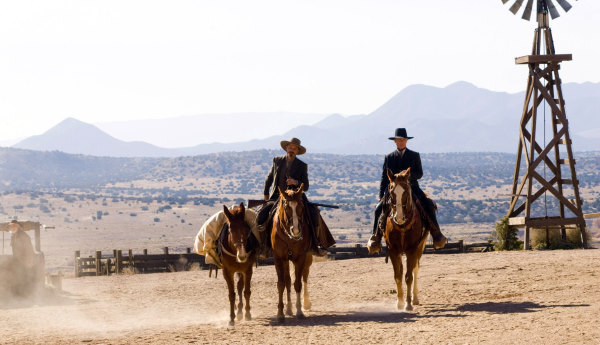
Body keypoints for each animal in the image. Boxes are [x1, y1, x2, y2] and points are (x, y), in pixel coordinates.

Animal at [270, 184, 312, 322]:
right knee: (288, 280)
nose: (297, 230)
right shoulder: (279, 258)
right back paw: (289, 309)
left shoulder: (300, 257)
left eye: (301, 206)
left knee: (305, 276)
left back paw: (306, 303)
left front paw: (299, 311)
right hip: (286, 261)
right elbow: (281, 283)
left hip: (307, 259)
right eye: (286, 206)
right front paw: (280, 314)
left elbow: (298, 283)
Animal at [384, 168, 432, 310]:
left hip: (420, 247)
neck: (402, 226)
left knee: (415, 269)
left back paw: (415, 298)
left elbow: (408, 277)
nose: (399, 217)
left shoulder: (412, 249)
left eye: (406, 191)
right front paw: (399, 302)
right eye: (391, 191)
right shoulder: (393, 250)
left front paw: (408, 303)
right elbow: (398, 276)